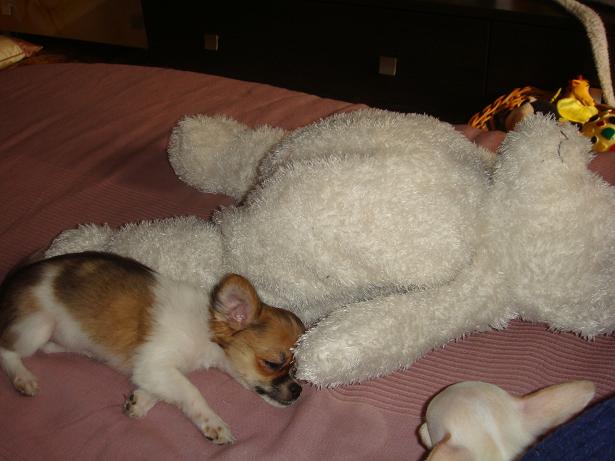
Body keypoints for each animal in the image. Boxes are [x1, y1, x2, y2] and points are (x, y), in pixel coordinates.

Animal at [0, 251, 305, 444]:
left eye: (296, 369)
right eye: (272, 364)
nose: (298, 390)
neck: (205, 330)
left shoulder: (155, 371)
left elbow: (169, 388)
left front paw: (141, 401)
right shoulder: (155, 364)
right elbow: (191, 391)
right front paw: (213, 423)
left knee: (49, 348)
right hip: (37, 325)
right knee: (7, 348)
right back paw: (23, 378)